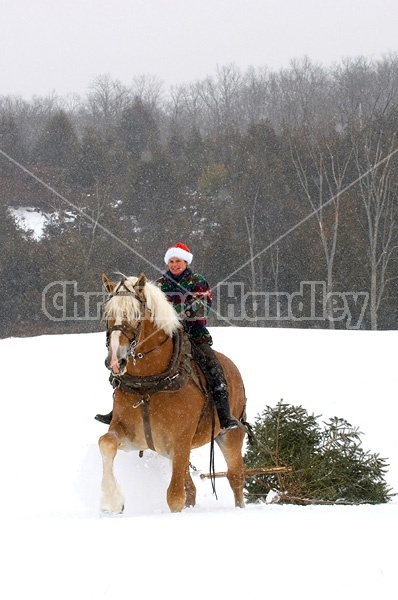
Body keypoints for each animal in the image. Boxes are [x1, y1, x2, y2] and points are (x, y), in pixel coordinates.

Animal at [98, 274, 249, 512]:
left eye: (135, 314)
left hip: (230, 435)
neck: (148, 386)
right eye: (107, 314)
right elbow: (106, 443)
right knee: (193, 489)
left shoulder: (181, 442)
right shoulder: (133, 437)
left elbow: (175, 497)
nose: (115, 360)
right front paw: (112, 499)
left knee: (235, 477)